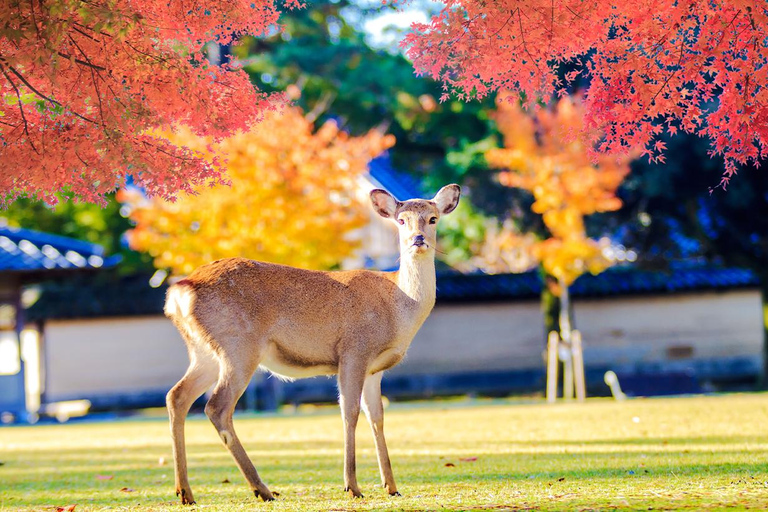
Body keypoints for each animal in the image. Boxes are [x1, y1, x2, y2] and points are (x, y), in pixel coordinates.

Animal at [164, 184, 460, 504]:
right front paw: (352, 486)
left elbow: (377, 416)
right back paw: (262, 489)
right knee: (217, 407)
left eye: (432, 219)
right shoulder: (353, 350)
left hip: (204, 352)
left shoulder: (375, 369)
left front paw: (391, 486)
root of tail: (179, 293)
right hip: (239, 346)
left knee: (177, 396)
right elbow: (350, 413)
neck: (399, 307)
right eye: (401, 220)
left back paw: (185, 492)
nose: (418, 239)